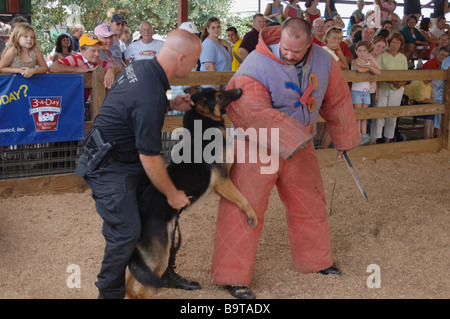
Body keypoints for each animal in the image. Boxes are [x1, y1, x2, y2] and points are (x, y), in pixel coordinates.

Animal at [124, 86, 256, 298]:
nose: (239, 89)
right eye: (220, 95)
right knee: (143, 289)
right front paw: (252, 216)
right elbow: (243, 200)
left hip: (150, 256)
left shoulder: (220, 186)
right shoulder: (223, 181)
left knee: (130, 278)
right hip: (159, 259)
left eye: (220, 89)